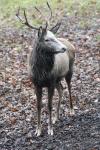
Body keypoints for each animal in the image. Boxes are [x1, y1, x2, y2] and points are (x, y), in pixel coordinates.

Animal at [16, 2, 75, 136]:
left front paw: (50, 129)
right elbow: (38, 105)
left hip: (69, 71)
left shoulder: (50, 82)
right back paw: (56, 117)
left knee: (69, 88)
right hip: (58, 79)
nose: (63, 48)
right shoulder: (36, 84)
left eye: (54, 36)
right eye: (47, 39)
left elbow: (49, 105)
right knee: (61, 90)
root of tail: (71, 44)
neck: (41, 72)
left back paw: (71, 110)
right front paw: (38, 130)